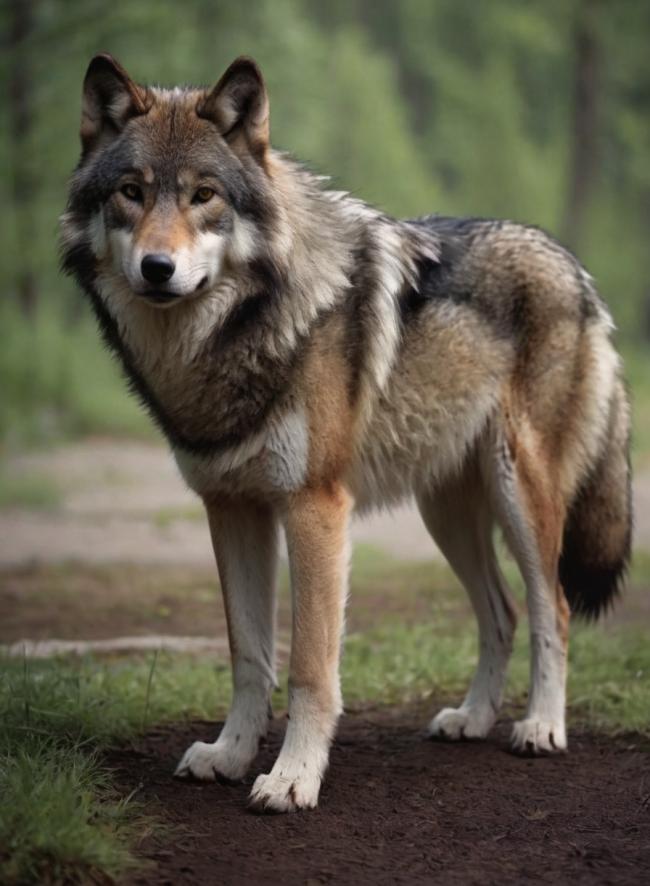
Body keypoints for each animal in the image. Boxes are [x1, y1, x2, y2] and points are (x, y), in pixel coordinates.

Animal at [61, 54, 632, 813]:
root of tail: (574, 266)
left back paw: (540, 726)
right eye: (132, 192)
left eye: (204, 196)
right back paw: (472, 719)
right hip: (446, 515)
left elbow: (309, 667)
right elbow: (248, 655)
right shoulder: (231, 508)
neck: (235, 335)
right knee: (501, 614)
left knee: (554, 610)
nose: (158, 268)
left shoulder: (314, 509)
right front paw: (230, 754)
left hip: (522, 498)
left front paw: (293, 778)